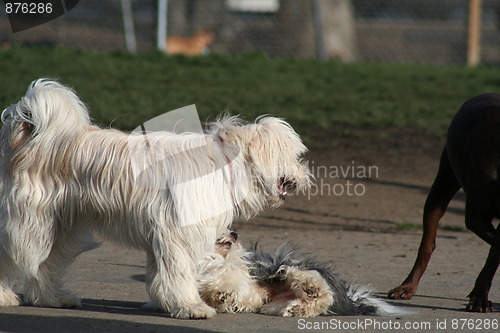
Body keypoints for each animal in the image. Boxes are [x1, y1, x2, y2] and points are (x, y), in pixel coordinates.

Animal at [0, 78, 310, 316]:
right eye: (292, 156)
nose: (302, 176)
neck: (225, 162)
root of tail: (35, 141)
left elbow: (161, 274)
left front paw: (166, 303)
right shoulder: (178, 235)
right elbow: (180, 272)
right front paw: (190, 307)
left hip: (63, 229)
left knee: (44, 265)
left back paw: (52, 298)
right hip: (29, 222)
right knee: (11, 254)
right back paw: (6, 297)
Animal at [199, 230, 410, 316]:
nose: (234, 233)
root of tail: (348, 298)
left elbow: (225, 275)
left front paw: (220, 291)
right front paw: (219, 295)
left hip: (293, 266)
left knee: (322, 292)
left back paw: (310, 287)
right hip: (274, 303)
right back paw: (298, 308)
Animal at [390, 92, 500, 312]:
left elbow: (495, 252)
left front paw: (479, 298)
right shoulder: (477, 218)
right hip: (442, 185)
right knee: (427, 244)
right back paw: (408, 286)